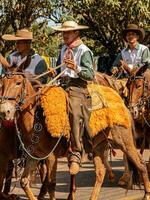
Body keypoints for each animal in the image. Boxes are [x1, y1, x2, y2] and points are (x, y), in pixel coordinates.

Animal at [0, 71, 150, 199]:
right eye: (2, 84)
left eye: (18, 83)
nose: (4, 111)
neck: (37, 118)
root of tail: (123, 106)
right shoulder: (35, 156)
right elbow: (24, 181)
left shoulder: (51, 156)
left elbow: (51, 183)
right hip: (99, 147)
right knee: (100, 173)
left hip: (125, 143)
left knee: (141, 165)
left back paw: (146, 194)